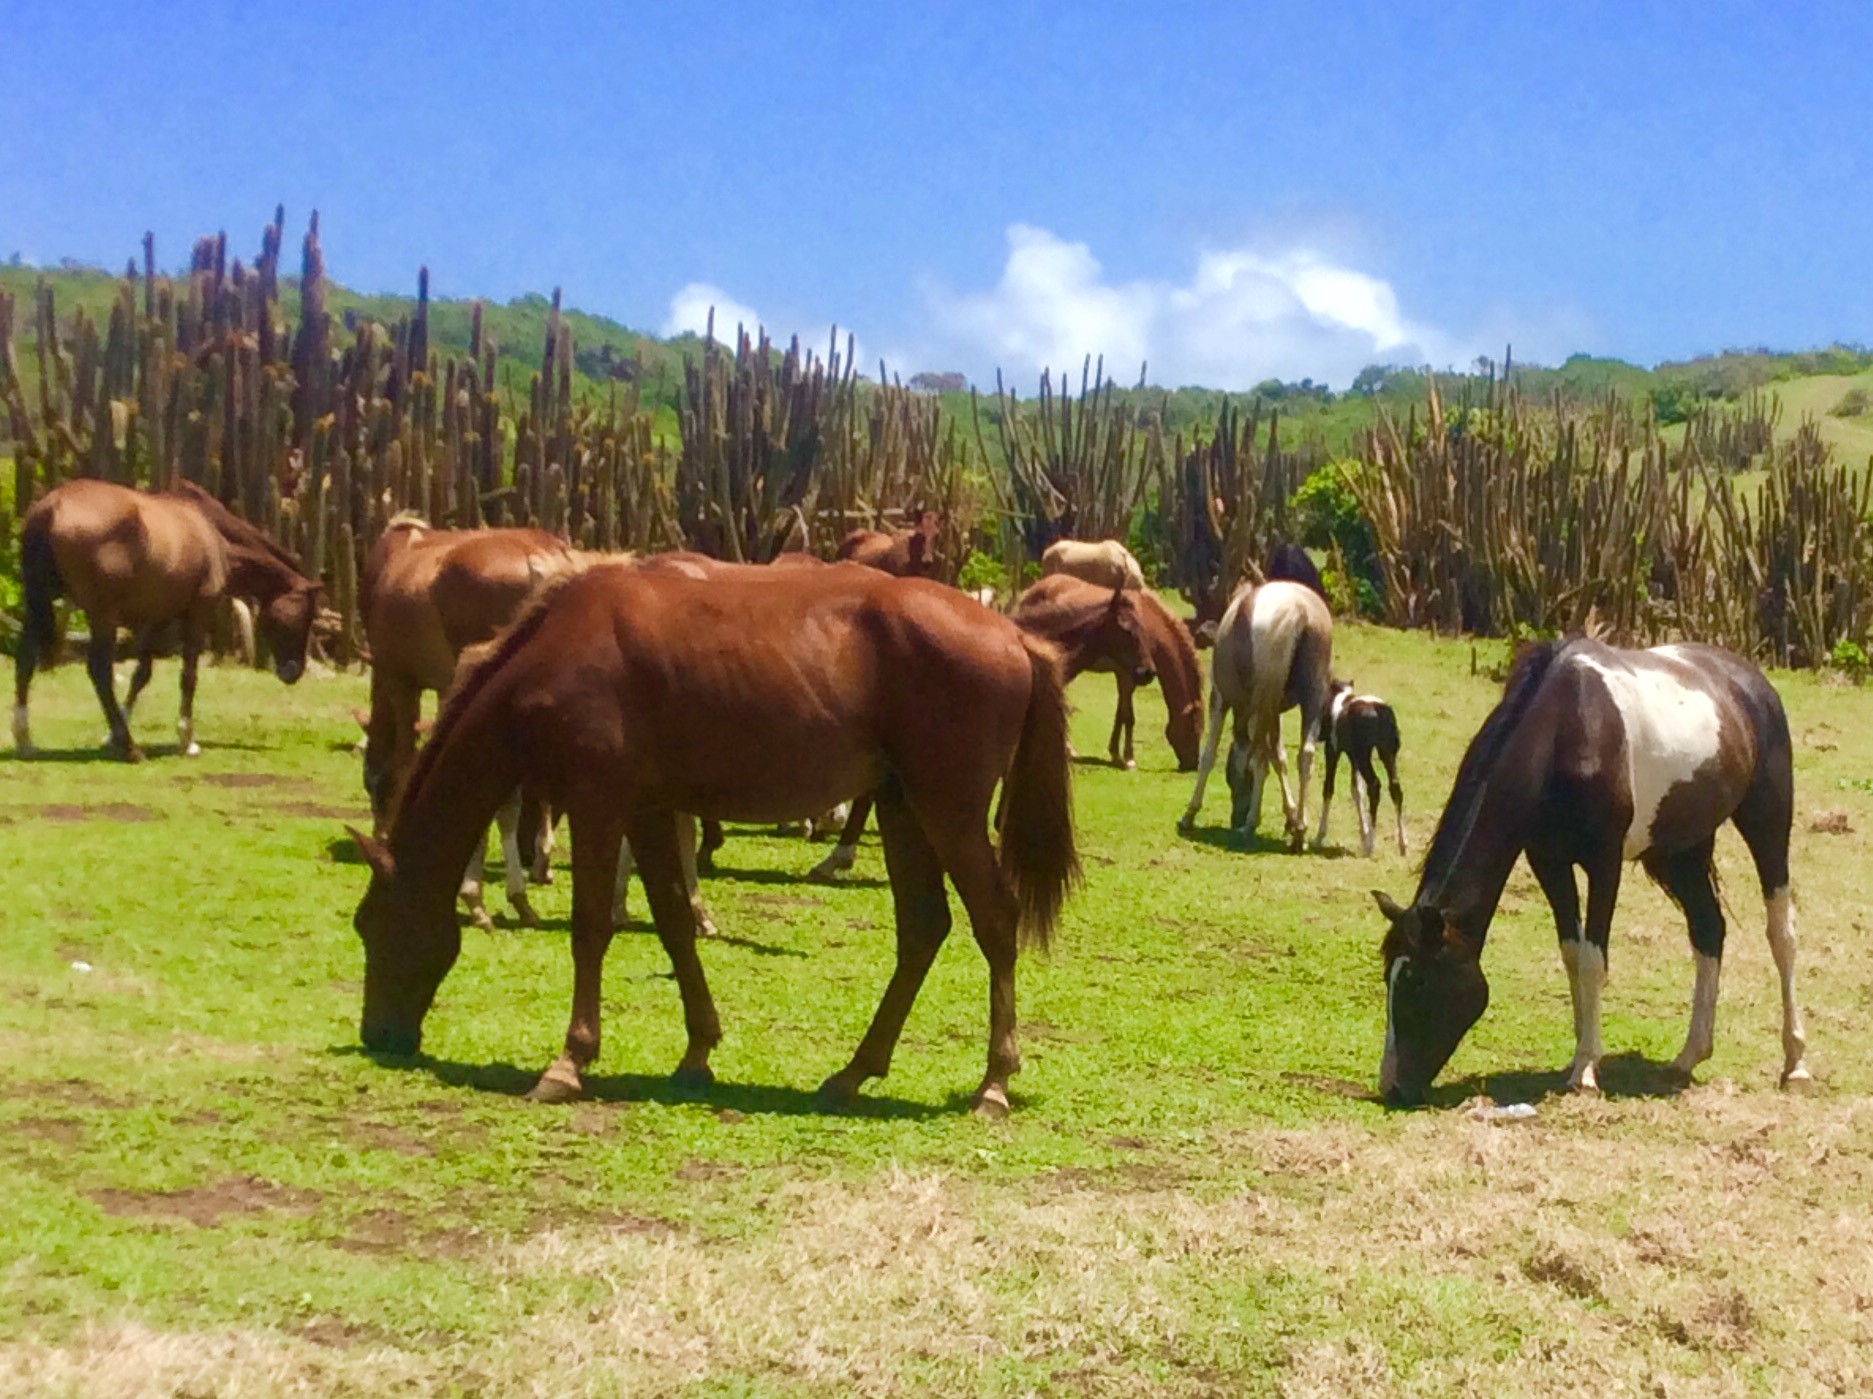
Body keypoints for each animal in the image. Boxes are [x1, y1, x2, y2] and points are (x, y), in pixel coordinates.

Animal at [14, 478, 323, 760]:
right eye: (305, 615)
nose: (294, 672)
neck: (211, 532)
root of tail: (53, 506)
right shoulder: (198, 613)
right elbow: (188, 676)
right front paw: (186, 740)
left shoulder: (157, 617)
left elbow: (141, 675)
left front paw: (113, 733)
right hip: (103, 616)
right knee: (99, 670)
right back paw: (131, 748)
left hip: (37, 603)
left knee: (25, 659)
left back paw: (25, 740)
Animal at [348, 559, 1078, 1118]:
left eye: (371, 926)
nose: (378, 1035)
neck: (558, 649)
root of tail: (1014, 637)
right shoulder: (646, 810)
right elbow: (673, 921)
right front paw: (697, 1052)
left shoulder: (598, 802)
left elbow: (590, 928)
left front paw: (568, 1061)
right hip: (903, 808)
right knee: (923, 928)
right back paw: (852, 1072)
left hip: (947, 810)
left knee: (996, 921)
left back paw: (993, 1083)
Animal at [1177, 580, 1333, 850]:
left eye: (1231, 777)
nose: (1234, 817)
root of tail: (1300, 612)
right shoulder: (1275, 711)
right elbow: (1279, 757)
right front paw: (1292, 818)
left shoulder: (1220, 699)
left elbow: (1210, 754)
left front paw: (1190, 813)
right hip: (1311, 697)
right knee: (1305, 755)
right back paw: (1300, 832)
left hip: (1261, 706)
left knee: (1260, 756)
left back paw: (1251, 823)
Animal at [1314, 680, 1406, 857]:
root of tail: (1379, 710)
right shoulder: (1353, 756)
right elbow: (1357, 790)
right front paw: (1363, 835)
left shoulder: (1332, 750)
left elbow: (1328, 788)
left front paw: (1319, 837)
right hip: (1387, 754)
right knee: (1395, 788)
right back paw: (1402, 844)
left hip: (1364, 756)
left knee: (1375, 785)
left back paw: (1370, 844)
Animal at [1374, 639, 1812, 1106]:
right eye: (1389, 977)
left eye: (1419, 983)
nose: (1392, 1087)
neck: (1564, 731)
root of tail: (1750, 681)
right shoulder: (1548, 861)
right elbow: (1572, 953)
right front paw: (1580, 1056)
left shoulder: (1604, 863)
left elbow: (1592, 959)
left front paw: (1585, 1072)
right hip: (1682, 852)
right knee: (1708, 930)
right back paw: (1688, 1057)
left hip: (1766, 823)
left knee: (1782, 934)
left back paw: (1796, 1065)